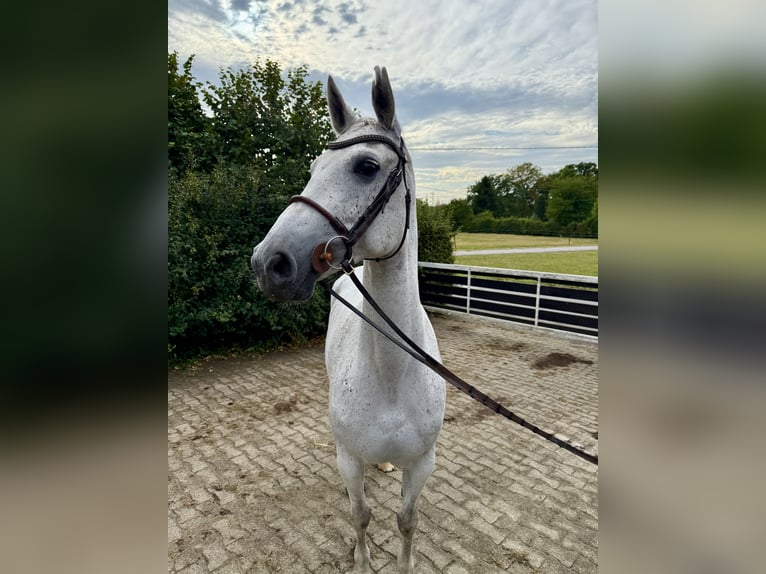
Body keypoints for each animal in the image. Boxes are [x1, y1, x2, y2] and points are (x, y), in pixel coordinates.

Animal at [251, 66, 446, 573]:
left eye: (366, 167)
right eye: (314, 169)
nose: (269, 263)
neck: (393, 377)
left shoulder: (423, 464)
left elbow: (407, 520)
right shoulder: (349, 459)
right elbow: (360, 515)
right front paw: (361, 560)